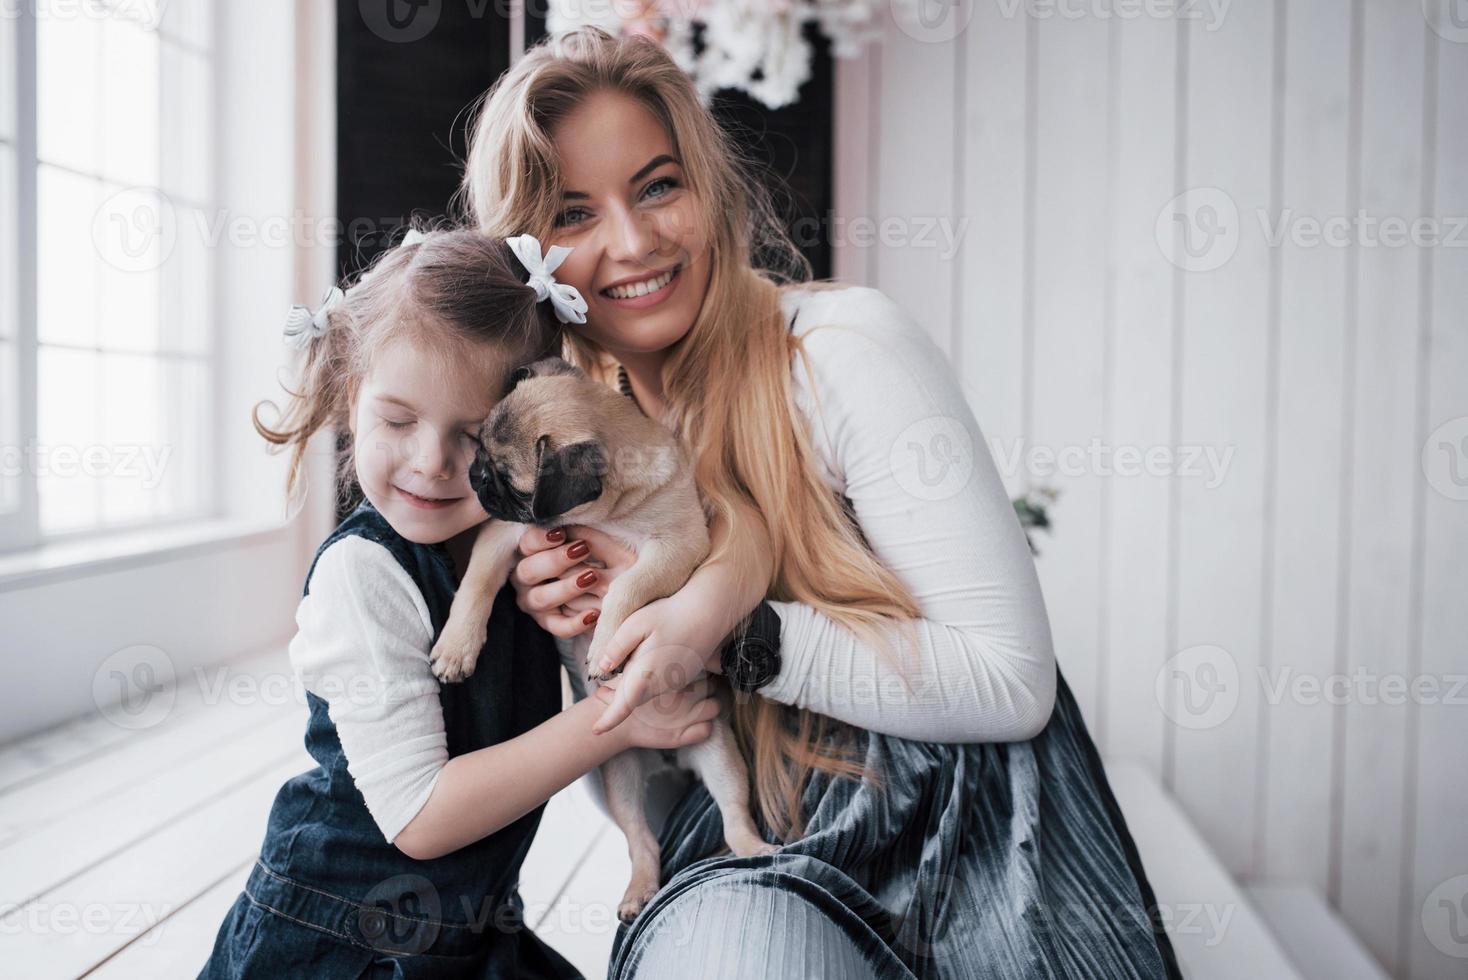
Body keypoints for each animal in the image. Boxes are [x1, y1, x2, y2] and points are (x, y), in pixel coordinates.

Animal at [428, 356, 780, 921]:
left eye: (511, 481)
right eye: (477, 449)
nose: (475, 475)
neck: (606, 515)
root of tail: (668, 758)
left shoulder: (675, 547)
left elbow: (626, 588)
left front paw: (606, 648)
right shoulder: (505, 535)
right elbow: (478, 584)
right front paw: (458, 646)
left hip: (720, 757)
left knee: (732, 814)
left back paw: (752, 849)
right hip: (620, 776)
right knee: (641, 840)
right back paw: (639, 889)